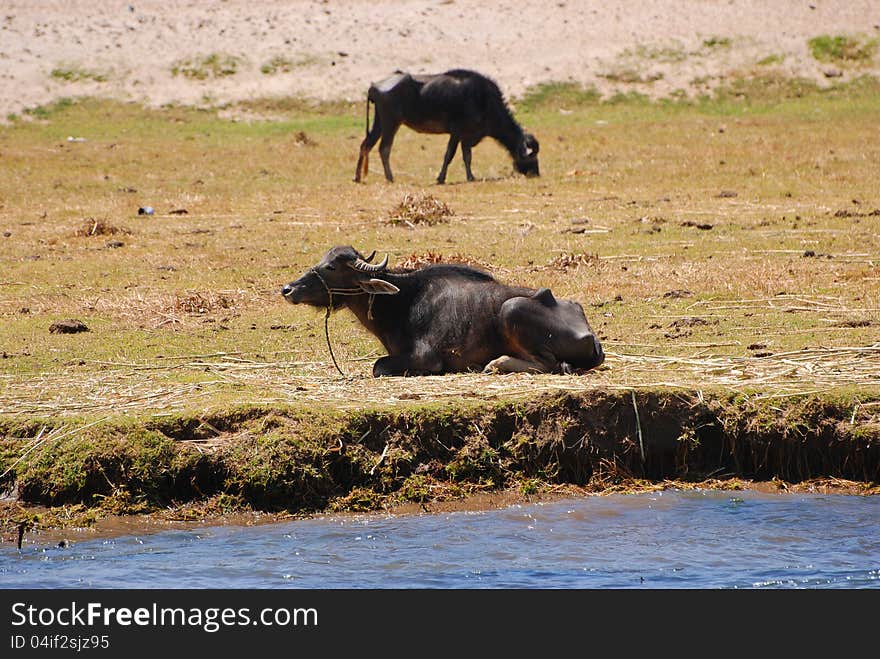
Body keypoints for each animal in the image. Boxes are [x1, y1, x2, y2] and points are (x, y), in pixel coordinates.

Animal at [282, 246, 604, 378]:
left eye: (331, 267)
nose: (288, 289)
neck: (402, 301)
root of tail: (588, 333)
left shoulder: (426, 357)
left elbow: (378, 366)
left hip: (512, 309)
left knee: (548, 364)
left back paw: (495, 364)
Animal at [354, 68, 540, 183]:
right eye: (531, 157)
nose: (536, 173)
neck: (484, 100)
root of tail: (374, 86)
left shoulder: (467, 136)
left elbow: (467, 156)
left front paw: (470, 177)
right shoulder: (457, 132)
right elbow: (449, 155)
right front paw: (440, 178)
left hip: (379, 123)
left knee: (365, 145)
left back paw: (357, 177)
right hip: (391, 123)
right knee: (384, 148)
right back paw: (390, 178)